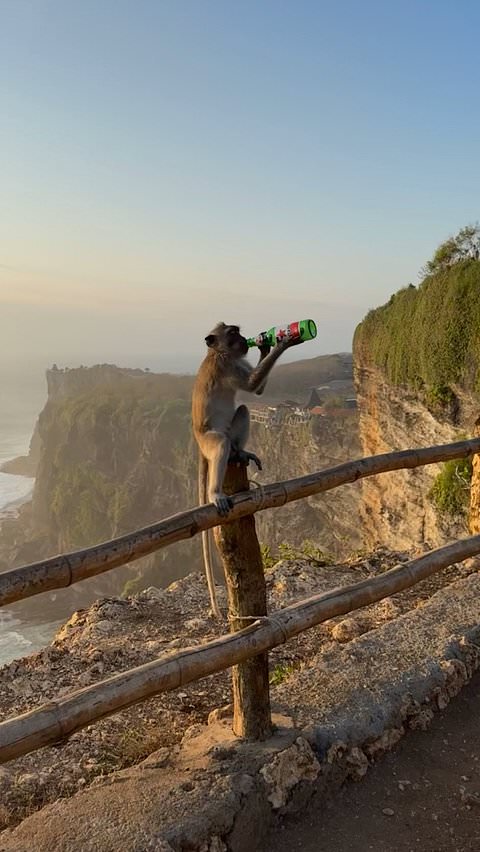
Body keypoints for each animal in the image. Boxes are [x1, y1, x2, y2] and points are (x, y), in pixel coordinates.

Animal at [192, 321, 300, 617]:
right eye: (232, 333)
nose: (244, 340)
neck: (218, 352)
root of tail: (197, 443)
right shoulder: (228, 365)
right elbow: (251, 385)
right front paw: (283, 340)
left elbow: (255, 393)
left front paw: (265, 344)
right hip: (209, 441)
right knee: (220, 443)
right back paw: (215, 492)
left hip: (229, 433)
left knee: (241, 410)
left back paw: (239, 452)